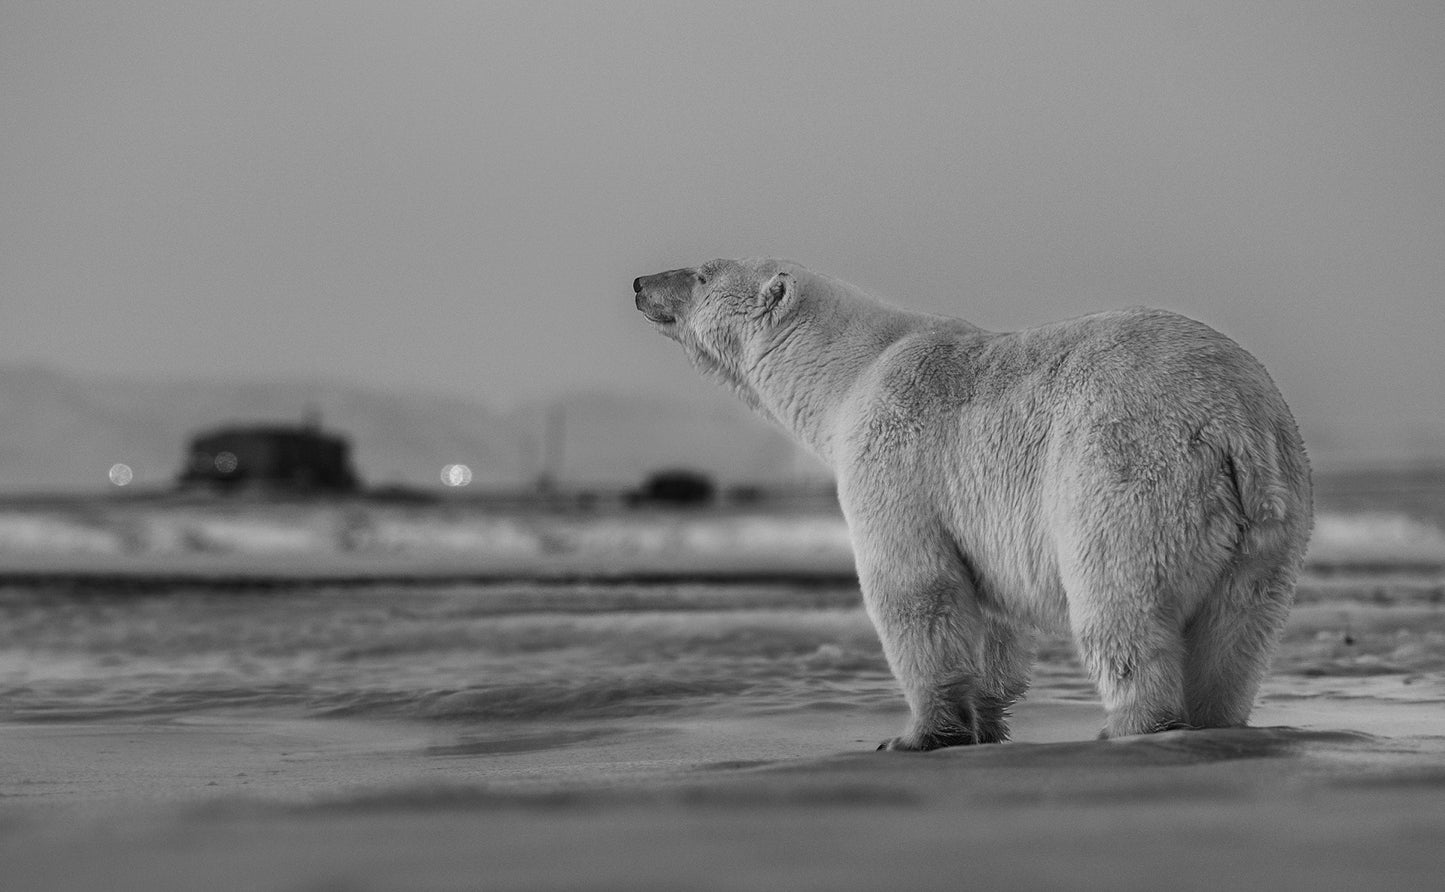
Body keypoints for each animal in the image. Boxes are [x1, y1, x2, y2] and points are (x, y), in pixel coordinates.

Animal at [632, 260, 1312, 745]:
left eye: (702, 274)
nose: (640, 283)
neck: (851, 371)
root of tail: (1233, 423)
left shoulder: (895, 454)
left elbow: (916, 588)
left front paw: (915, 736)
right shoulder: (977, 511)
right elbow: (992, 616)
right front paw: (986, 719)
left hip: (1126, 471)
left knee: (1120, 604)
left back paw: (1132, 722)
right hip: (1272, 517)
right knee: (1240, 629)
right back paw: (1216, 717)